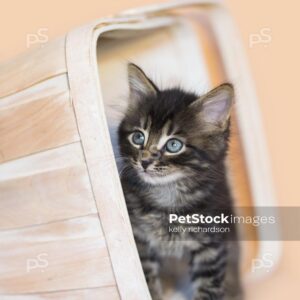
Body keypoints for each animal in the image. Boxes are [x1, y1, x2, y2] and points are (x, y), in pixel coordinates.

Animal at [118, 63, 243, 300]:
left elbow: (209, 289)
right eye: (138, 137)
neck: (168, 197)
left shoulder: (212, 246)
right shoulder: (140, 241)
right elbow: (148, 282)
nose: (144, 161)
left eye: (174, 145)